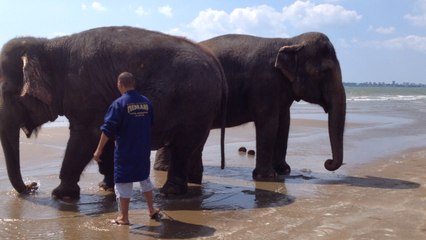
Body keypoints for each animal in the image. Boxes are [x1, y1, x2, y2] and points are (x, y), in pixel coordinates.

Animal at [0, 25, 228, 199]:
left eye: (6, 91)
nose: (33, 186)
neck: (49, 45)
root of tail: (214, 61)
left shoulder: (86, 93)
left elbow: (87, 136)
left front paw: (60, 194)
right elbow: (104, 137)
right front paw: (105, 187)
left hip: (195, 102)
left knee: (181, 147)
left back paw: (169, 193)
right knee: (190, 147)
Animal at [156, 31, 346, 181]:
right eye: (325, 71)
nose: (327, 162)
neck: (290, 40)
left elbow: (284, 123)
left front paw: (284, 171)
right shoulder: (265, 83)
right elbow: (269, 123)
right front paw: (268, 177)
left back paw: (163, 169)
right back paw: (165, 169)